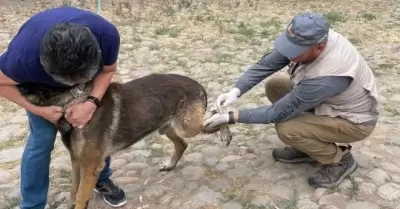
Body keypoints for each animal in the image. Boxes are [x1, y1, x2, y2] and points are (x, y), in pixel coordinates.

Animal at [17, 73, 233, 209]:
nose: (14, 83)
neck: (74, 98)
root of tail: (198, 85)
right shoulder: (77, 161)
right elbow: (73, 191)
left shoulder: (90, 166)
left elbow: (80, 197)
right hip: (166, 128)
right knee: (183, 144)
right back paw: (170, 165)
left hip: (187, 127)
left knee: (216, 115)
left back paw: (225, 130)